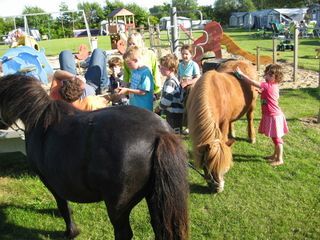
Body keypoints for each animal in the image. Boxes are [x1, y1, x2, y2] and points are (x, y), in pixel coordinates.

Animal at [0, 74, 189, 239]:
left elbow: (63, 206)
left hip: (118, 206)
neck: (40, 118)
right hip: (155, 196)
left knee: (124, 233)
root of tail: (158, 133)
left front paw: (71, 232)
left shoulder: (50, 181)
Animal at [188, 60, 258, 193]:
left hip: (252, 105)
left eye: (225, 168)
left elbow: (224, 137)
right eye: (207, 166)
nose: (218, 188)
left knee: (250, 118)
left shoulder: (223, 122)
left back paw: (251, 137)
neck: (213, 93)